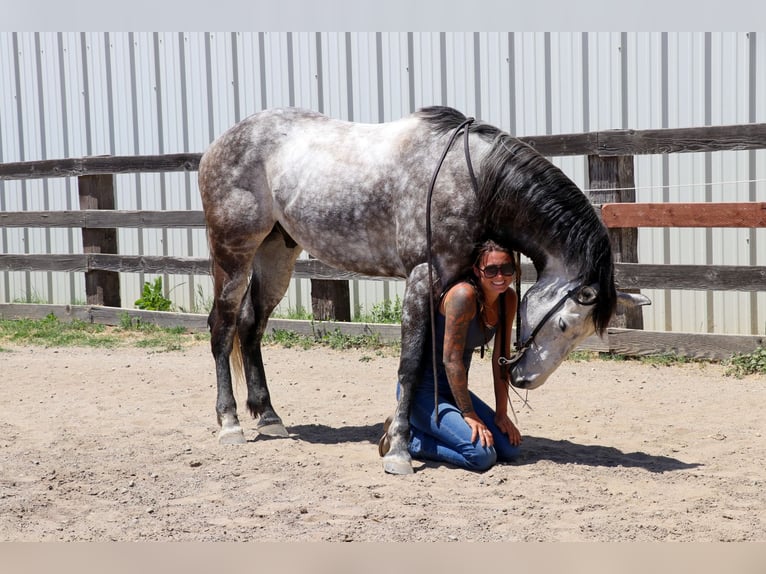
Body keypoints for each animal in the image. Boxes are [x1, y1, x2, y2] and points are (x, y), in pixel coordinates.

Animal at [198, 106, 650, 475]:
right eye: (563, 324)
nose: (524, 380)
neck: (478, 180)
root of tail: (219, 144)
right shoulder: (421, 278)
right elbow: (411, 365)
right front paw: (399, 449)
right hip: (233, 253)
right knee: (222, 327)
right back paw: (230, 423)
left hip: (277, 251)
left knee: (251, 326)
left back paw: (269, 416)